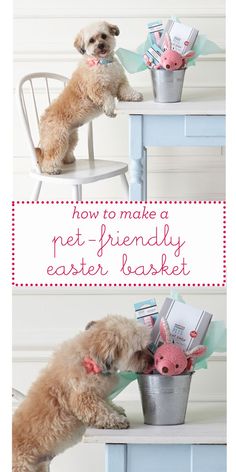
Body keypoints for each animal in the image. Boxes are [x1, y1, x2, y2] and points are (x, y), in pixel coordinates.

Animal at [12, 316, 151, 470]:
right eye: (138, 351)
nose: (152, 360)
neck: (89, 357)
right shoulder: (84, 399)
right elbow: (101, 411)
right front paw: (117, 420)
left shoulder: (99, 393)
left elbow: (106, 402)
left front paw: (116, 409)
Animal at [37, 21, 142, 174]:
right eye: (91, 40)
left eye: (103, 36)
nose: (101, 45)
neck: (103, 62)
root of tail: (43, 120)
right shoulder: (96, 89)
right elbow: (108, 98)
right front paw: (110, 109)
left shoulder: (120, 83)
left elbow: (126, 90)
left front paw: (135, 95)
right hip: (57, 139)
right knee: (50, 156)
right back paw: (51, 169)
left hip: (71, 137)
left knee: (65, 152)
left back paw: (69, 160)